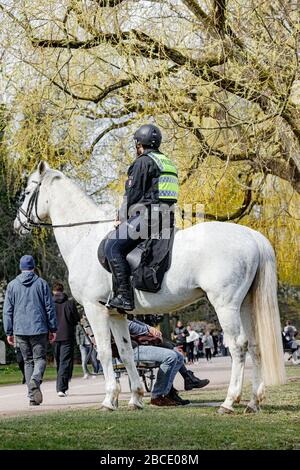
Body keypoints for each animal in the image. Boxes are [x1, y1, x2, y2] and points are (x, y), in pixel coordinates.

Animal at [14, 163, 286, 414]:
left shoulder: (95, 309)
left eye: (27, 192)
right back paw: (253, 402)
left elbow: (105, 353)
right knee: (255, 345)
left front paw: (109, 400)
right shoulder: (116, 313)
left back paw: (229, 402)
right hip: (246, 305)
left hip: (226, 305)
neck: (86, 235)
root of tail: (252, 236)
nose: (18, 224)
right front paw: (135, 398)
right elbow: (125, 352)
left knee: (238, 346)